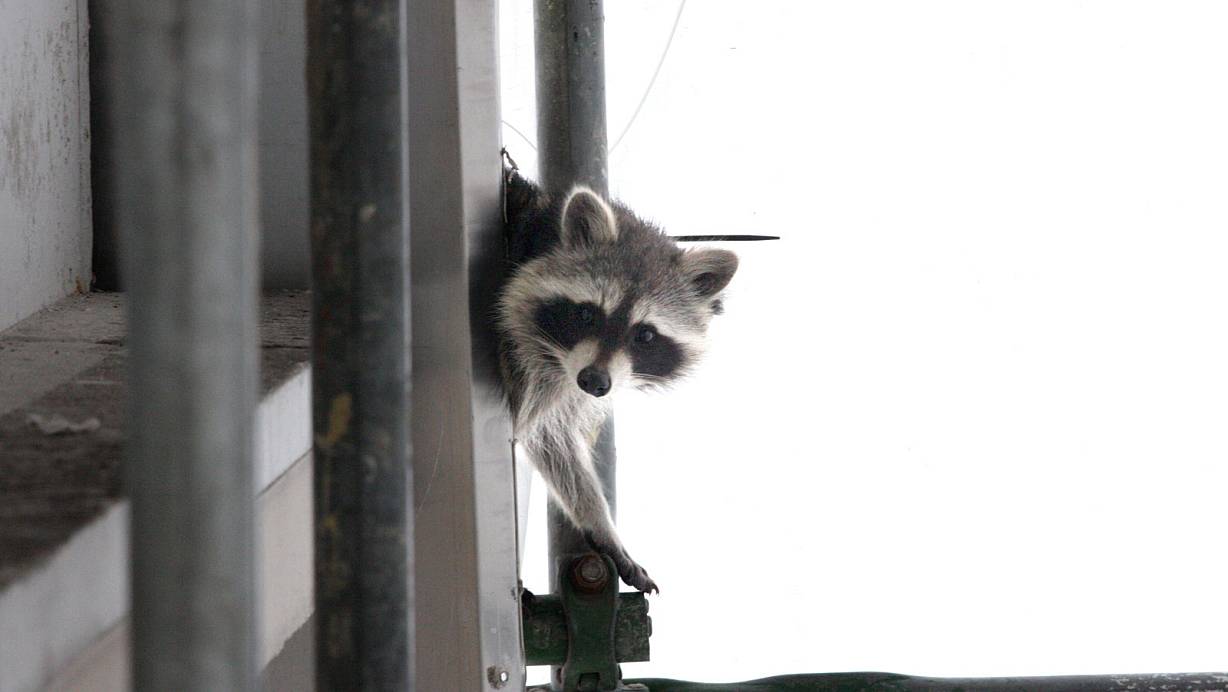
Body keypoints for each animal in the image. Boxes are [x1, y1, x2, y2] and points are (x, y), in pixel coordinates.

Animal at [498, 170, 736, 591]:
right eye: (587, 314)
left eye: (645, 335)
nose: (594, 381)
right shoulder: (525, 357)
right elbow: (533, 426)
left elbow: (556, 444)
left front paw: (599, 524)